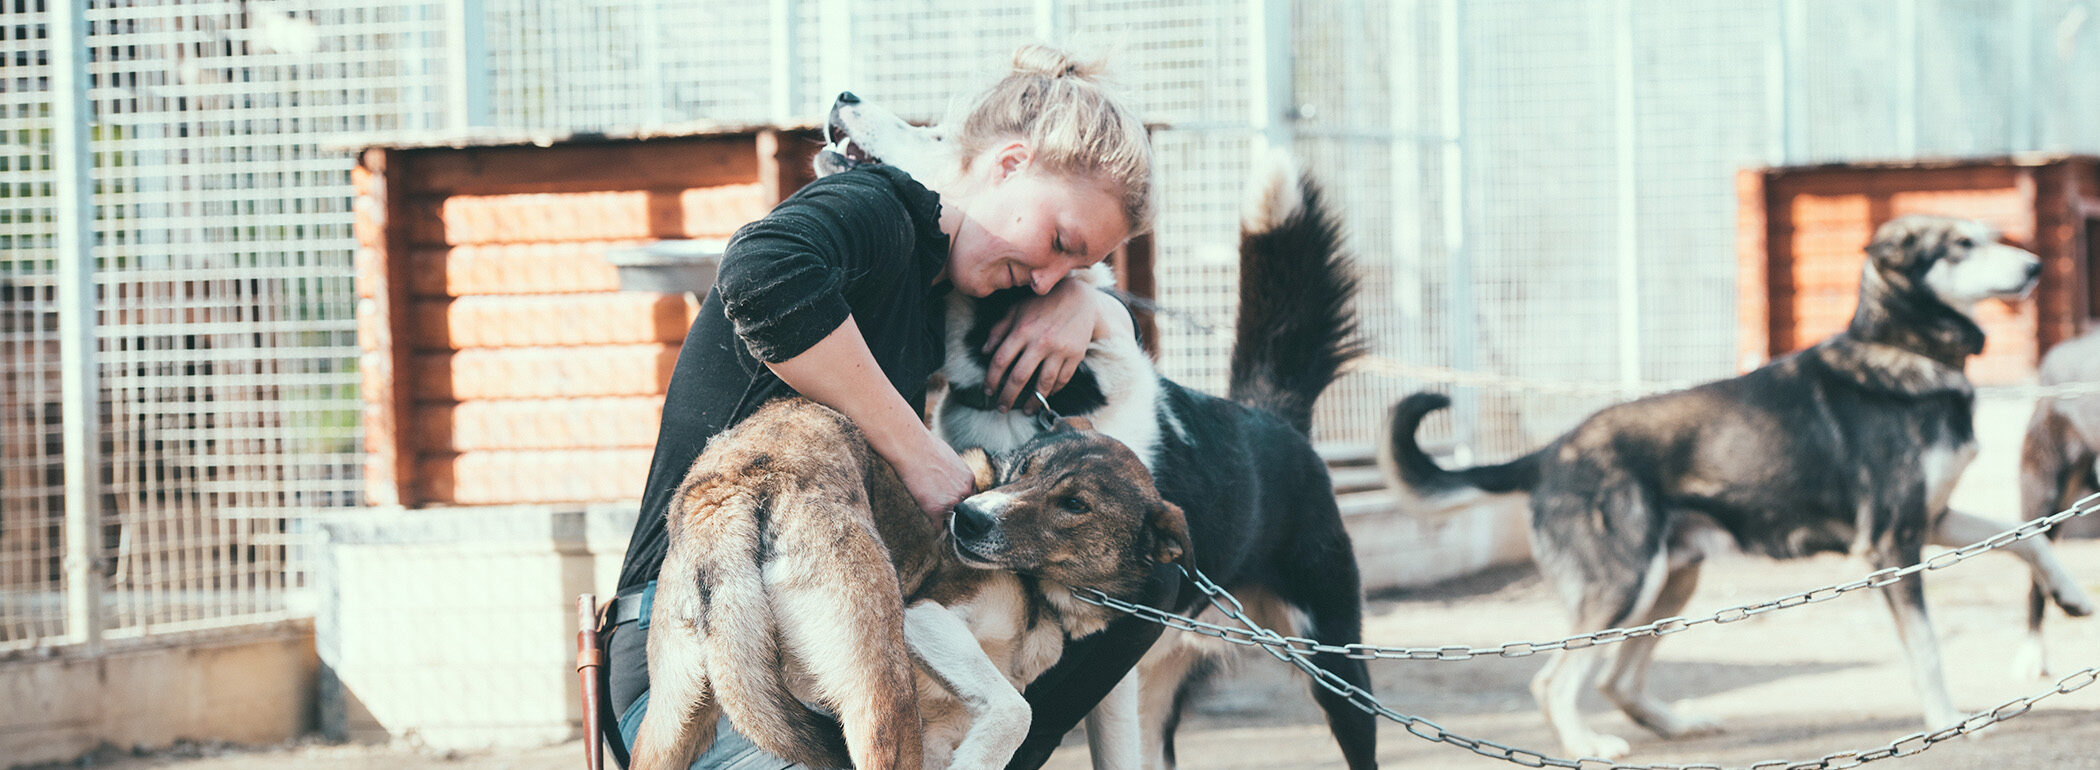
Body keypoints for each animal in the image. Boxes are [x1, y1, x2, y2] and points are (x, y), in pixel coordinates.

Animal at [630, 398, 1192, 770]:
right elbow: (1018, 711)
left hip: (672, 723)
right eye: (1022, 469)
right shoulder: (925, 616)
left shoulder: (943, 727)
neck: (1044, 593)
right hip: (883, 691)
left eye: (1075, 505)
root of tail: (733, 486)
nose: (967, 518)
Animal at [814, 94, 1377, 770]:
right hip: (1165, 682)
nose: (846, 97)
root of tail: (1273, 416)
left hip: (1335, 664)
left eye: (940, 136)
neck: (1016, 403)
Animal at [1385, 216, 2091, 759]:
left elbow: (2028, 540)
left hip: (1671, 584)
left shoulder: (1933, 519)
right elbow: (1927, 646)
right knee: (1555, 680)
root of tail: (1550, 452)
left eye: (1988, 235)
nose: (2033, 266)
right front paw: (1946, 721)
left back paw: (1678, 725)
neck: (1906, 353)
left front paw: (2074, 594)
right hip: (1625, 584)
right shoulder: (1892, 542)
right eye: (1960, 244)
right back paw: (1587, 745)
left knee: (1617, 681)